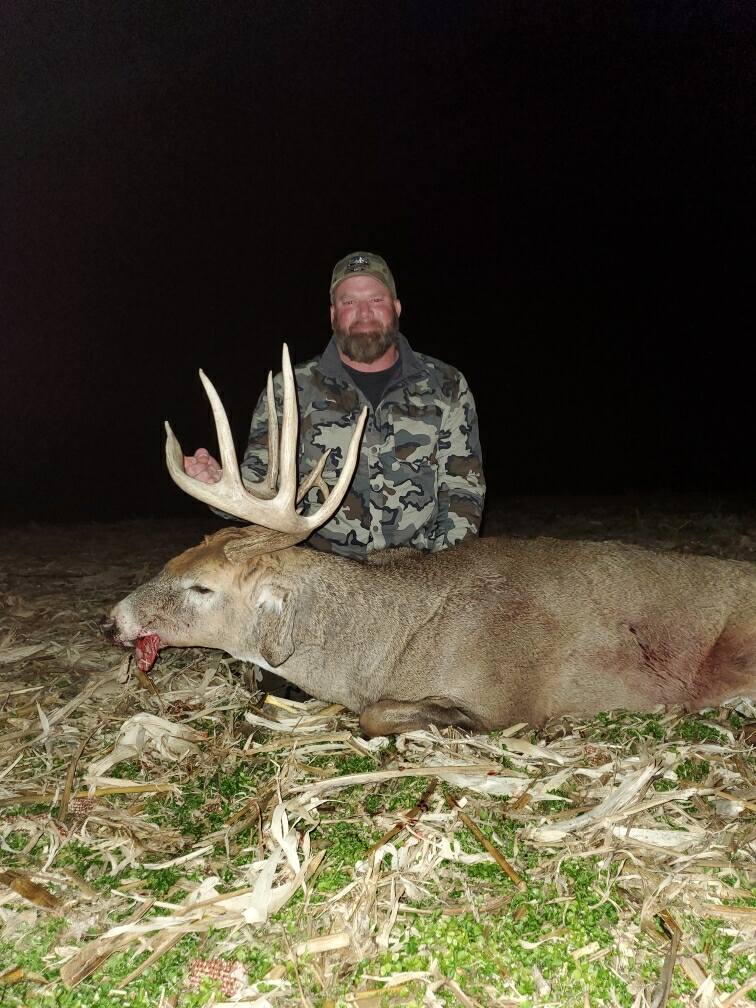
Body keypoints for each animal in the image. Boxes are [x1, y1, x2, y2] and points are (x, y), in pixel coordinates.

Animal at [103, 346, 756, 736]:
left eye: (202, 587)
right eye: (174, 559)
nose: (111, 622)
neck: (380, 645)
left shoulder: (506, 698)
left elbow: (375, 716)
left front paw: (446, 720)